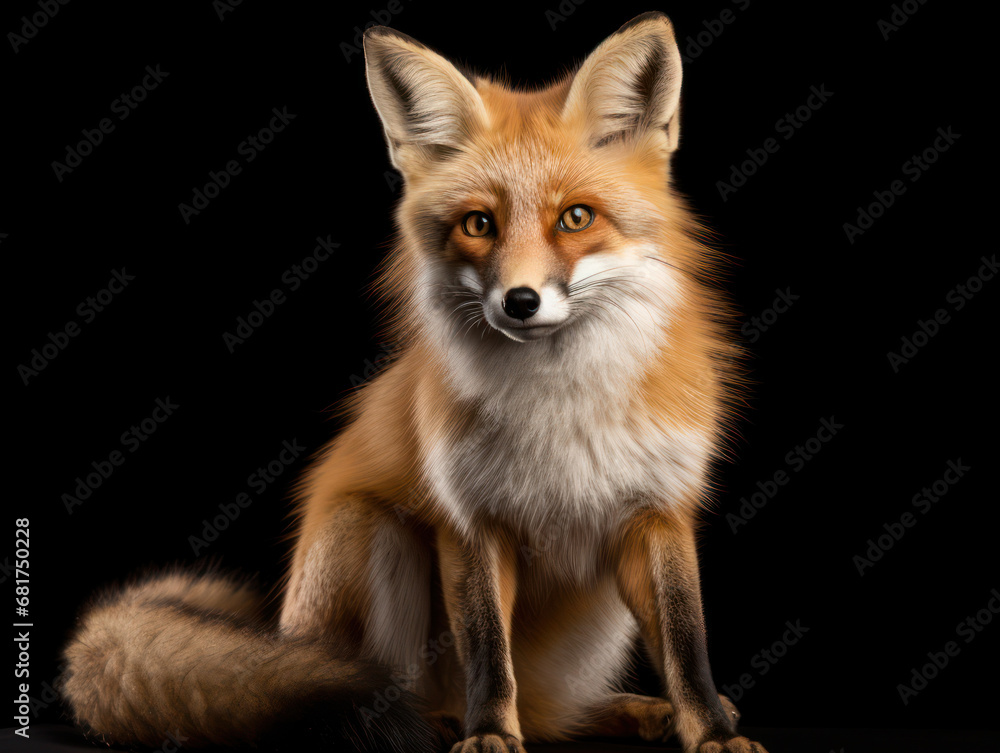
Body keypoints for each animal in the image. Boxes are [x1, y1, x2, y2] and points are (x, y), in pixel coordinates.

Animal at [61, 12, 770, 753]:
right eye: (478, 224)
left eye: (576, 217)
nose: (520, 301)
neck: (561, 406)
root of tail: (287, 626)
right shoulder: (469, 522)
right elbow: (488, 651)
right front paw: (490, 732)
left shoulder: (660, 512)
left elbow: (687, 645)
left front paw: (712, 731)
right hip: (372, 532)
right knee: (399, 688)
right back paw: (437, 722)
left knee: (555, 714)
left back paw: (628, 712)